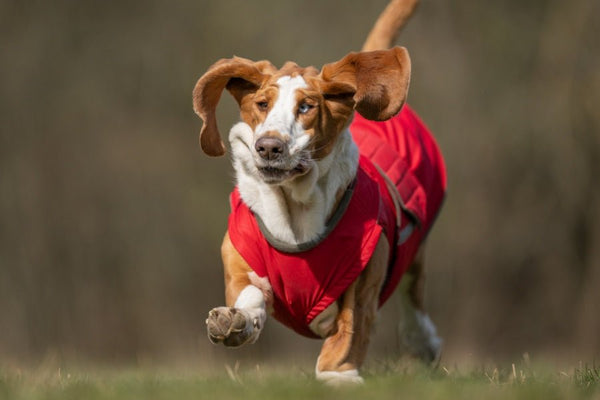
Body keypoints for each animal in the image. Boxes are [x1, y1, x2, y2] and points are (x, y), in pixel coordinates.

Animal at [192, 0, 446, 384]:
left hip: (413, 252)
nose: (269, 147)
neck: (294, 211)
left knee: (413, 296)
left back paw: (424, 342)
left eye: (306, 107)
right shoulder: (240, 263)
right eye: (262, 104)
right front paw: (235, 321)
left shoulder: (362, 280)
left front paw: (337, 377)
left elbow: (349, 331)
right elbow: (248, 294)